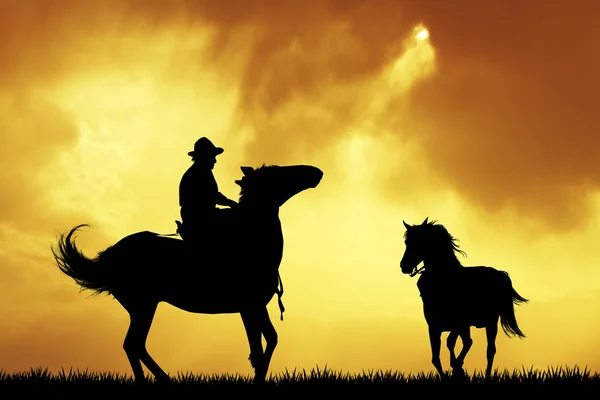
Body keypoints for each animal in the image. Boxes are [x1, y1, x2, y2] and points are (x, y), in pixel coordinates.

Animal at [52, 165, 324, 384]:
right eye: (278, 172)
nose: (316, 172)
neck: (251, 243)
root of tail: (110, 256)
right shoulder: (252, 306)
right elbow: (266, 343)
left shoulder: (252, 308)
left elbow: (263, 343)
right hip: (143, 306)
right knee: (134, 344)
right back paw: (160, 381)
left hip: (141, 307)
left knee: (134, 345)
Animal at [400, 219, 528, 378]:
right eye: (406, 242)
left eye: (419, 241)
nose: (403, 266)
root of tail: (498, 273)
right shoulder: (434, 327)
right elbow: (436, 357)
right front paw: (454, 370)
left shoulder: (459, 323)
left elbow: (452, 342)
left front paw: (457, 367)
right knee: (469, 342)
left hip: (491, 322)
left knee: (490, 350)